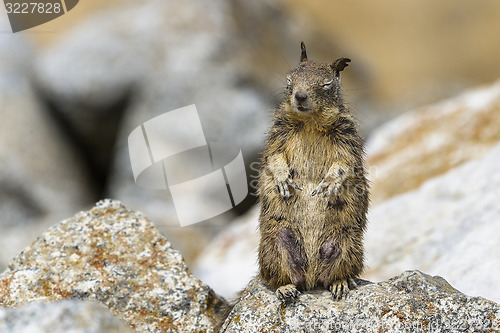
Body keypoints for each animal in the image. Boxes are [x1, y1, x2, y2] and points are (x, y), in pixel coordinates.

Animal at [258, 41, 368, 300]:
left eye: (326, 83)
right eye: (290, 79)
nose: (300, 95)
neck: (310, 122)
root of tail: (309, 278)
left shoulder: (348, 138)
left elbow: (344, 163)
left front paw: (330, 182)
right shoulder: (277, 135)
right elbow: (274, 157)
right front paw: (283, 180)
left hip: (347, 242)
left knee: (335, 274)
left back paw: (339, 284)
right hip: (274, 243)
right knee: (275, 277)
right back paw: (285, 288)